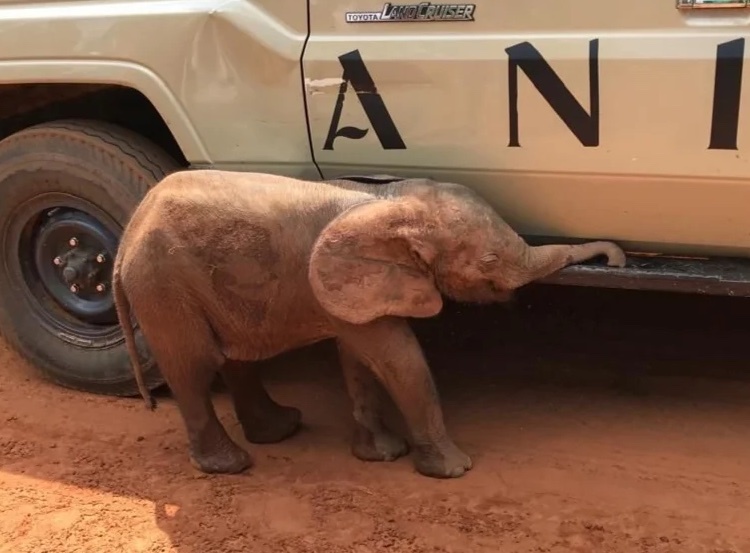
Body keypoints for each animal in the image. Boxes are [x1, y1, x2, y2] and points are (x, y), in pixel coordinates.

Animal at [112, 170, 626, 479]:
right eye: (489, 261)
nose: (617, 260)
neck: (387, 200)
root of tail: (124, 239)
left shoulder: (355, 292)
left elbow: (359, 358)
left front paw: (380, 456)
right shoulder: (343, 284)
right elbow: (398, 357)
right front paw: (454, 471)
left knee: (236, 358)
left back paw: (282, 430)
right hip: (162, 284)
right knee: (195, 368)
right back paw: (231, 466)